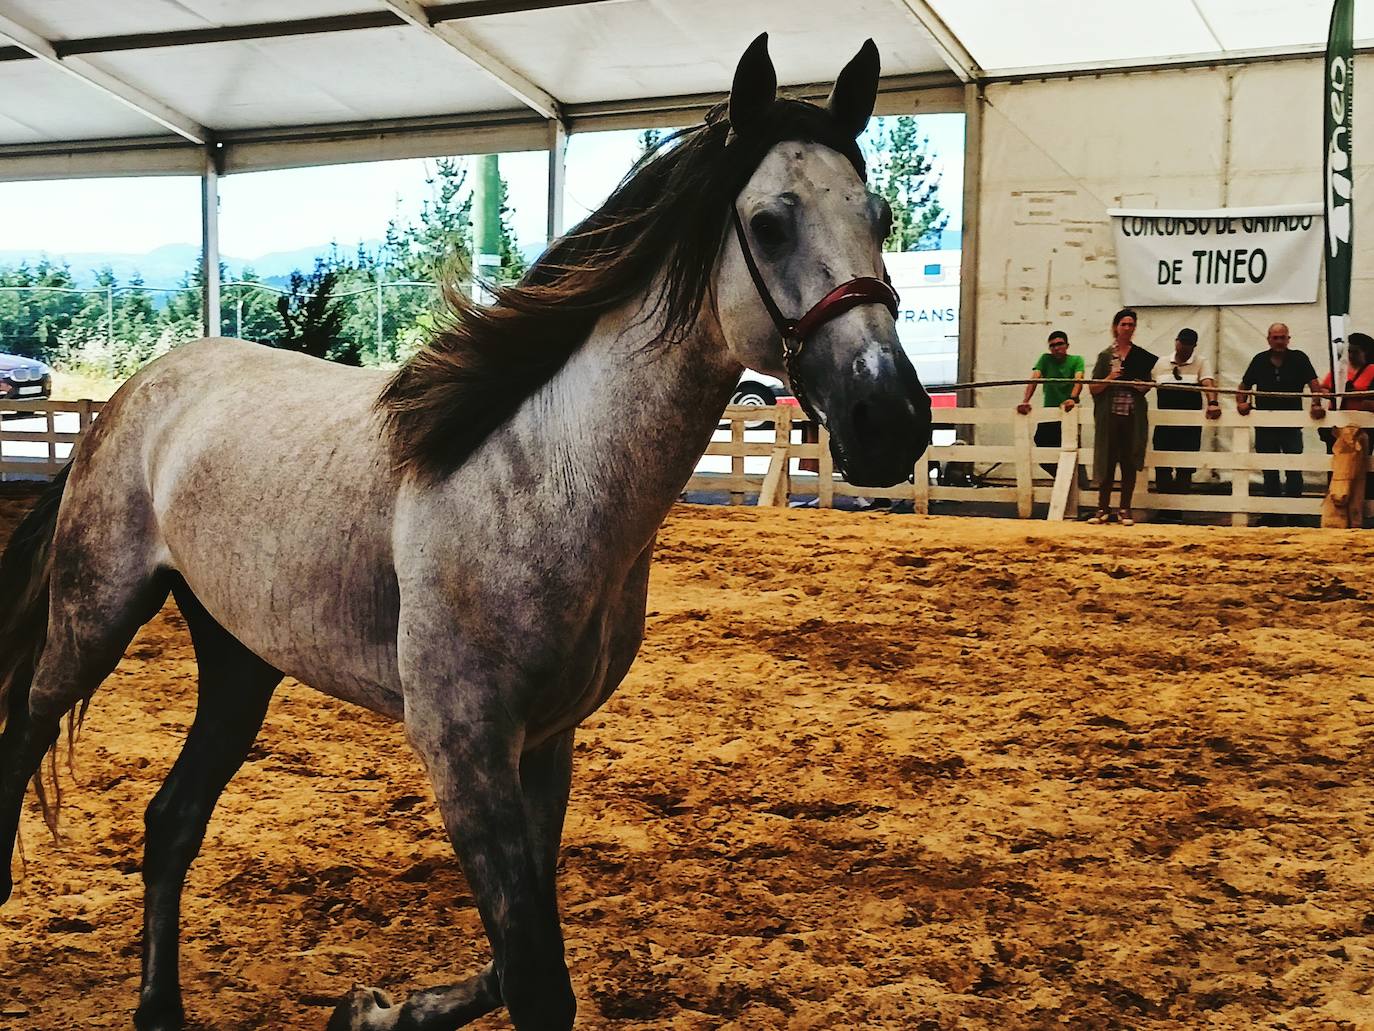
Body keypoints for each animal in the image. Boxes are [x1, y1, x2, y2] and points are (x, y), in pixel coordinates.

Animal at [0, 33, 931, 1031]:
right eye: (768, 223)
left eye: (879, 213)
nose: (891, 419)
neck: (540, 472)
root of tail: (129, 396)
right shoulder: (463, 749)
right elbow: (533, 975)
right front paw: (385, 1004)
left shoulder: (544, 744)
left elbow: (516, 958)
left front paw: (380, 1007)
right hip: (93, 619)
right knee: (23, 736)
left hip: (240, 658)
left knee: (170, 821)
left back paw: (161, 1008)